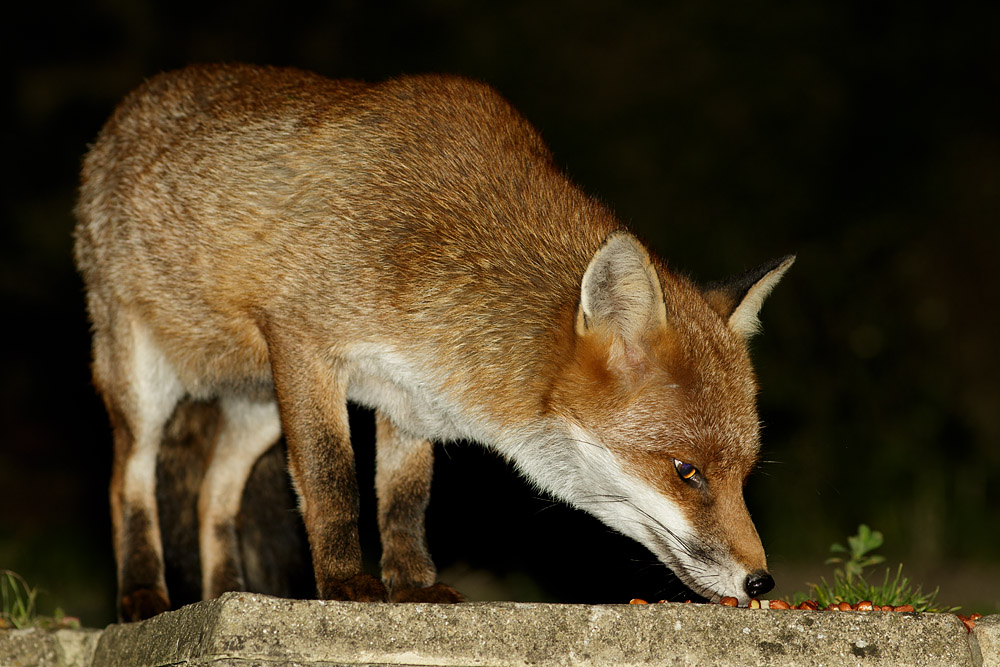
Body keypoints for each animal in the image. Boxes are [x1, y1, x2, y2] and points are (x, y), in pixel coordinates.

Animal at [74, 63, 793, 621]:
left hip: (260, 409)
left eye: (743, 474)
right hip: (146, 383)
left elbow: (404, 502)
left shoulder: (412, 397)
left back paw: (227, 595)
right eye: (686, 471)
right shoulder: (307, 344)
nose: (761, 581)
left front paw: (413, 587)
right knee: (126, 480)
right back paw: (143, 595)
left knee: (212, 495)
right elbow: (334, 482)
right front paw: (346, 585)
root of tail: (129, 107)